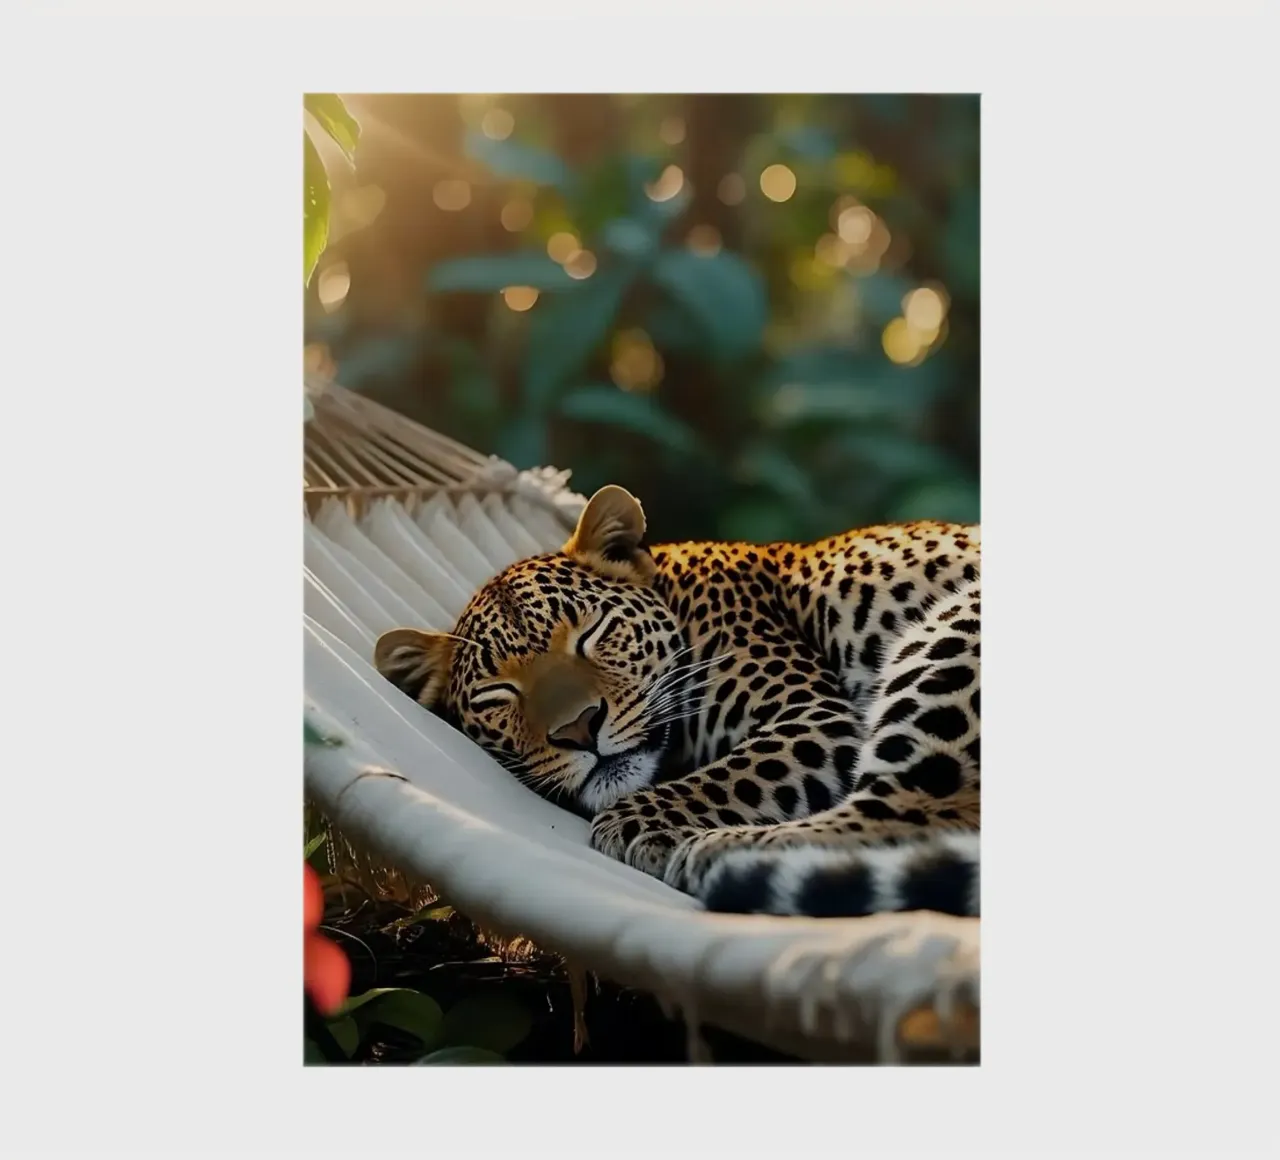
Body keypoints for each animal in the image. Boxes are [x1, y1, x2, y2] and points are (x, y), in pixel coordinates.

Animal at [374, 485, 980, 919]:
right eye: (498, 693)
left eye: (592, 633)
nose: (580, 727)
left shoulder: (812, 715)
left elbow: (709, 783)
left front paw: (638, 828)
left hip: (955, 633)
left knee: (916, 810)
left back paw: (717, 857)